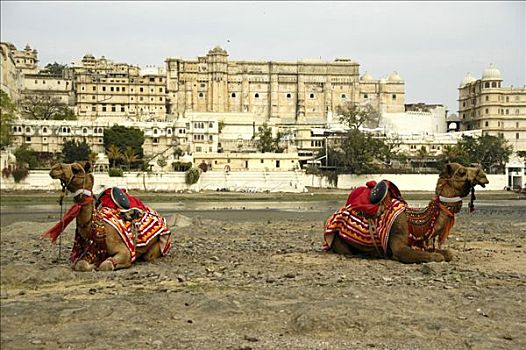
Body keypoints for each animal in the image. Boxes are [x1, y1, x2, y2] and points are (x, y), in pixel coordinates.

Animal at [43, 161, 171, 270]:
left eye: (76, 169)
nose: (54, 168)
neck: (94, 227)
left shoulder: (125, 251)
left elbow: (106, 265)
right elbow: (80, 264)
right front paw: (92, 265)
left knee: (148, 256)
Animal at [324, 162, 492, 262]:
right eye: (462, 172)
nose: (483, 175)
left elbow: (447, 253)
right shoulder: (399, 245)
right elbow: (434, 256)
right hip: (340, 242)